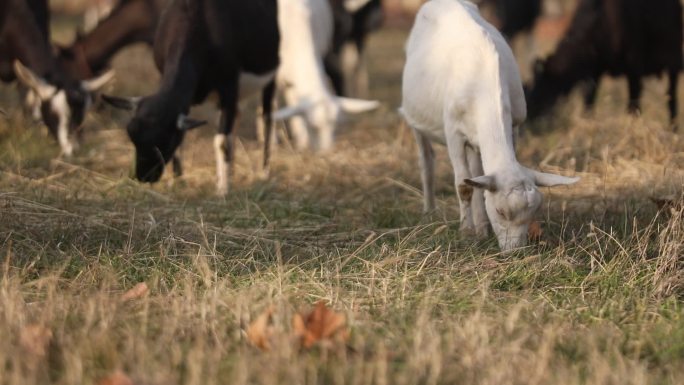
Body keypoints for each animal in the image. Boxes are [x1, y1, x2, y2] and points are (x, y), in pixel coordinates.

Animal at [400, 0, 576, 250]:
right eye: (501, 211)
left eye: (532, 214)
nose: (515, 252)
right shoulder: (453, 133)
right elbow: (463, 185)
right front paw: (465, 232)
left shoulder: (514, 125)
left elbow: (478, 182)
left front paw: (482, 230)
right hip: (416, 119)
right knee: (427, 162)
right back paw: (429, 211)